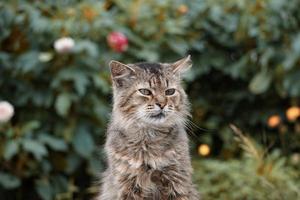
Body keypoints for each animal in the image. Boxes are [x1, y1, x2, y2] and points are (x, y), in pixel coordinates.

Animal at [96, 55, 199, 200]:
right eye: (145, 92)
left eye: (170, 92)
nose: (162, 104)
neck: (149, 135)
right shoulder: (128, 184)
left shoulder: (178, 181)